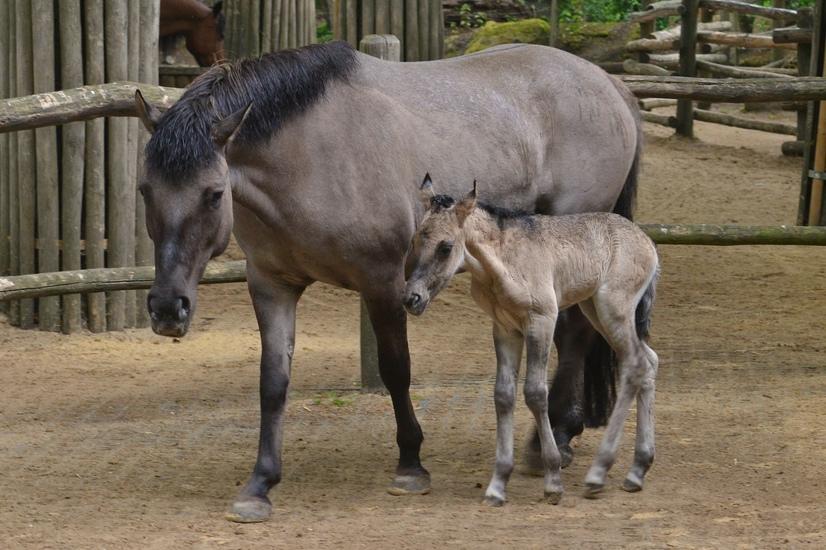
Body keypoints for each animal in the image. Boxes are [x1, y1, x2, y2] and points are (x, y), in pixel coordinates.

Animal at [403, 177, 659, 505]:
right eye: (414, 241)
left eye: (445, 247)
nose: (412, 298)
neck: (503, 261)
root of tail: (647, 242)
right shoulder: (504, 328)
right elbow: (503, 395)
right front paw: (498, 485)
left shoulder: (542, 320)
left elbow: (535, 393)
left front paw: (552, 481)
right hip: (595, 309)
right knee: (648, 361)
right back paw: (637, 470)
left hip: (613, 309)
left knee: (635, 365)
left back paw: (598, 474)